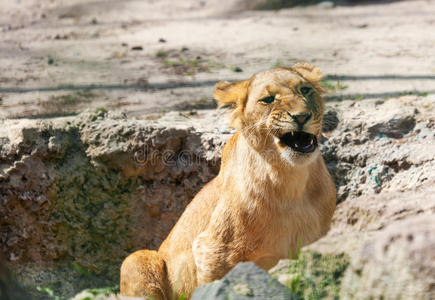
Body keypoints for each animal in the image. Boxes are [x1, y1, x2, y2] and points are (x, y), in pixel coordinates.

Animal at [121, 62, 338, 298]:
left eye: (305, 90)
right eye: (268, 99)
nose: (301, 117)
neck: (291, 180)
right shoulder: (213, 250)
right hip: (136, 260)